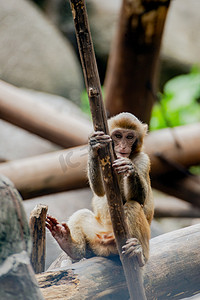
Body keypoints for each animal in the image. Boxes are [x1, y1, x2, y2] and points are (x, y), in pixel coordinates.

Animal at [46, 112, 154, 268]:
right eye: (118, 135)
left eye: (129, 137)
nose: (123, 146)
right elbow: (100, 190)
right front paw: (94, 145)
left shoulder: (144, 159)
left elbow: (139, 199)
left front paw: (129, 168)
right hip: (95, 237)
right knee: (82, 214)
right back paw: (68, 243)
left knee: (133, 206)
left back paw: (139, 256)